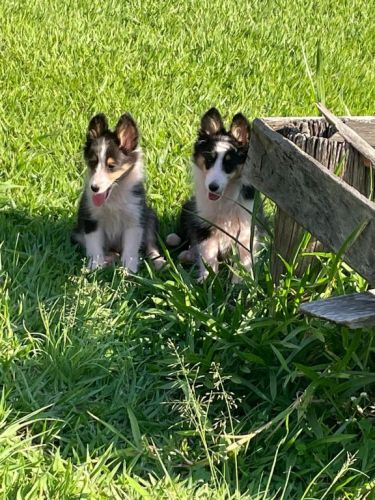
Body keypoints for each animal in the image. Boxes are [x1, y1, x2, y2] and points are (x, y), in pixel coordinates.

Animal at [72, 112, 164, 274]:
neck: (114, 195)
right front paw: (95, 268)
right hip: (78, 233)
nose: (94, 188)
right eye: (93, 162)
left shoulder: (135, 219)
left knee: (151, 244)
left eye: (111, 166)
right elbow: (95, 247)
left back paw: (158, 262)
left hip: (150, 217)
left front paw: (128, 271)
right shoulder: (91, 219)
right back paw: (110, 258)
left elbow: (131, 249)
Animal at [167, 107, 262, 282]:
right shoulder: (204, 223)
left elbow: (243, 257)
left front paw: (240, 281)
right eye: (209, 160)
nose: (212, 187)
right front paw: (208, 279)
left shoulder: (246, 226)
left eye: (229, 164)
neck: (225, 198)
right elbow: (208, 253)